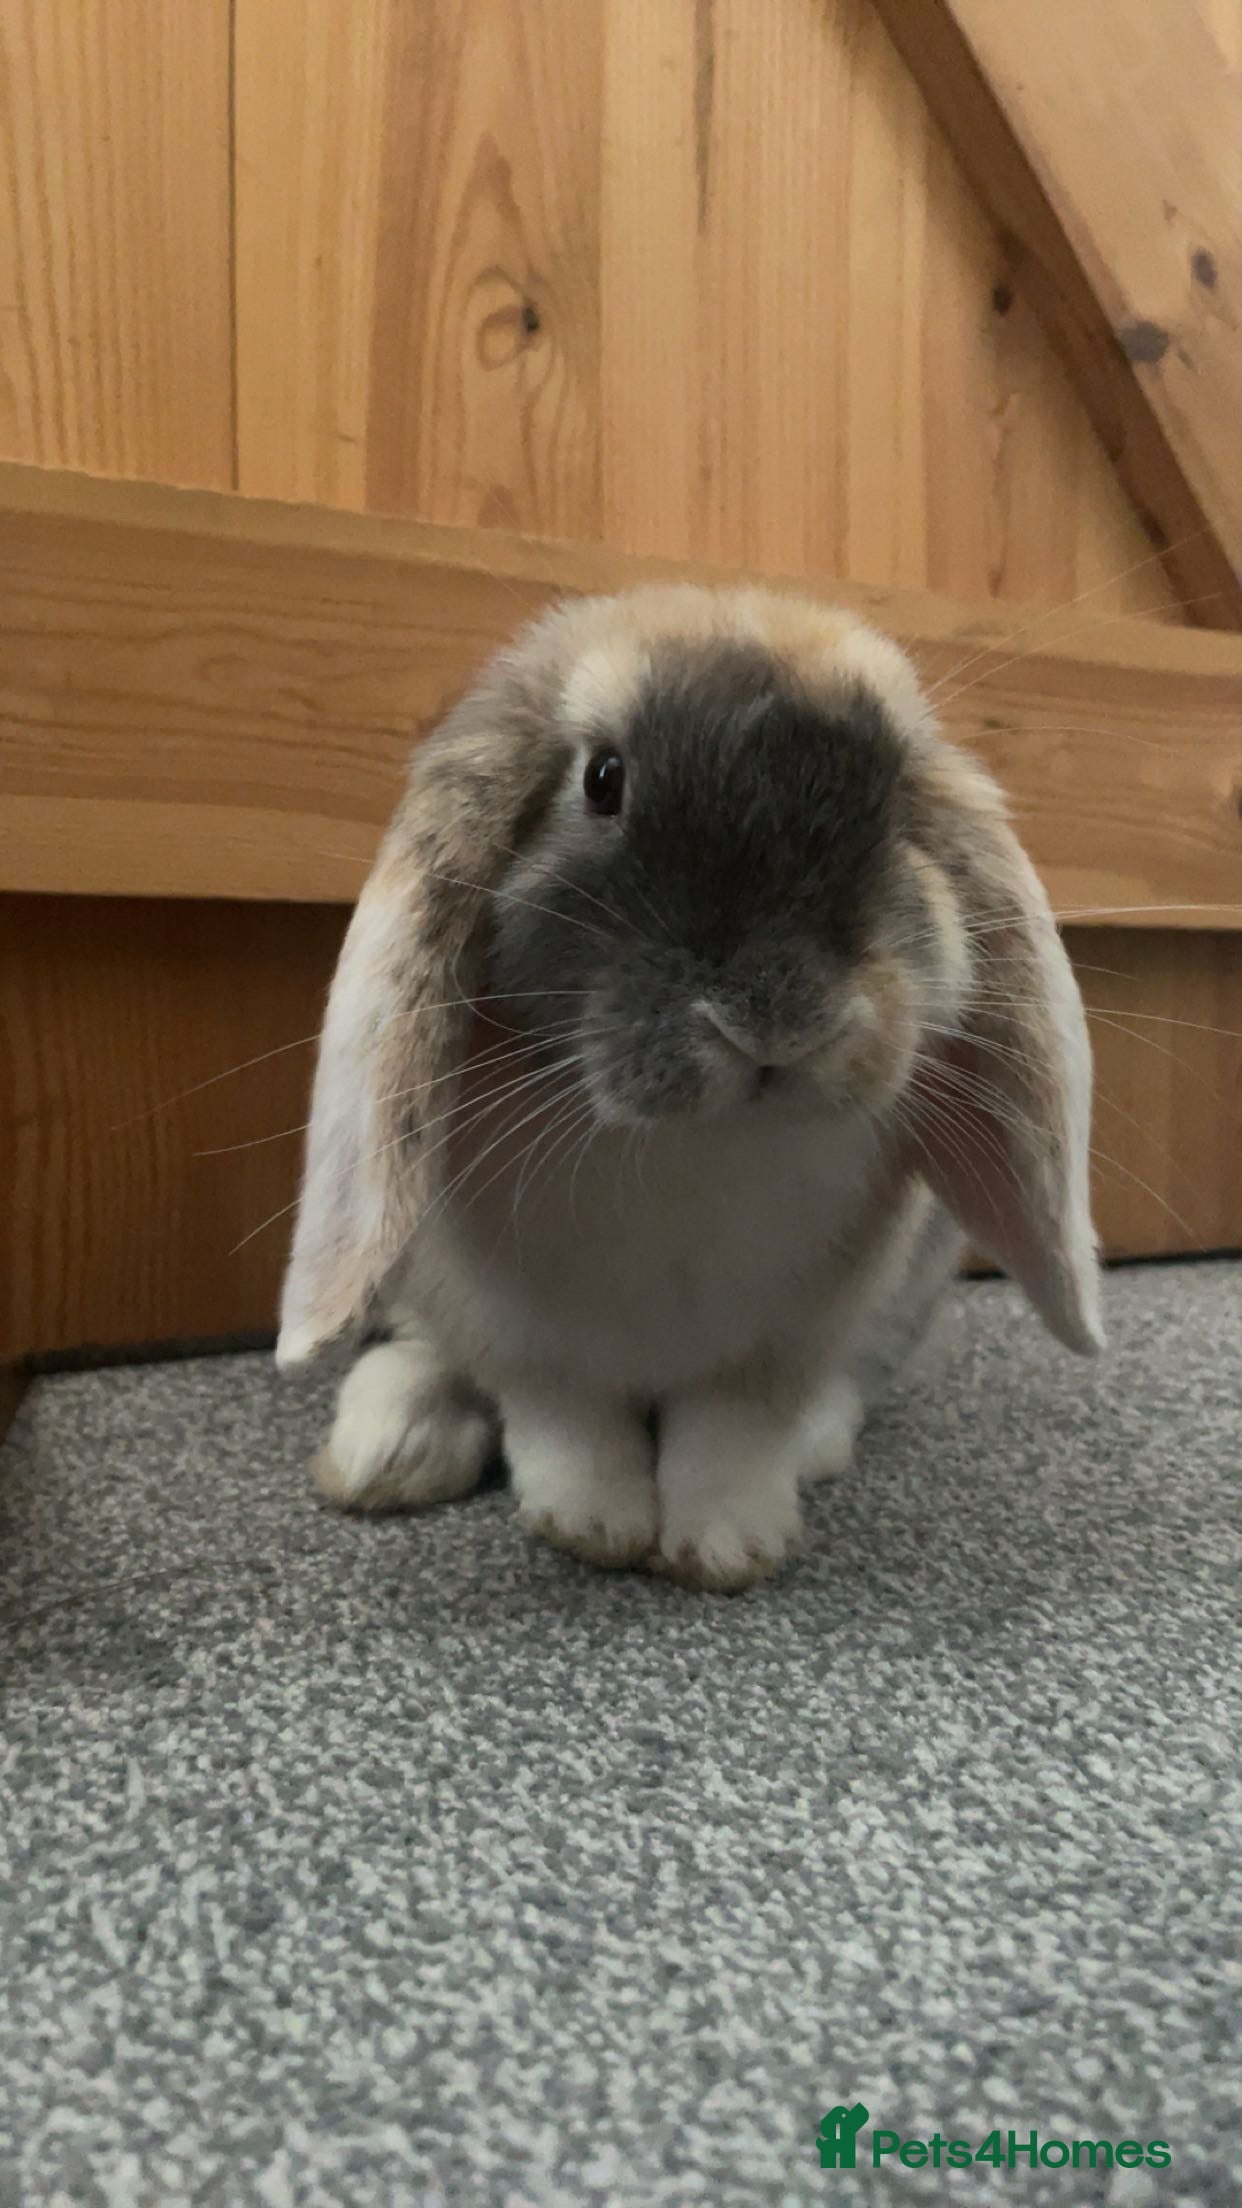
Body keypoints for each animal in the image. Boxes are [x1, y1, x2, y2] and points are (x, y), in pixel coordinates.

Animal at [276, 584, 1103, 1591]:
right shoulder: (521, 1333)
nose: (778, 1020)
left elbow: (735, 1434)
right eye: (602, 779)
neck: (697, 1145)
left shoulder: (790, 1334)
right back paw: (390, 1446)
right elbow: (566, 1423)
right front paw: (593, 1524)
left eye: (899, 792)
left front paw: (727, 1547)